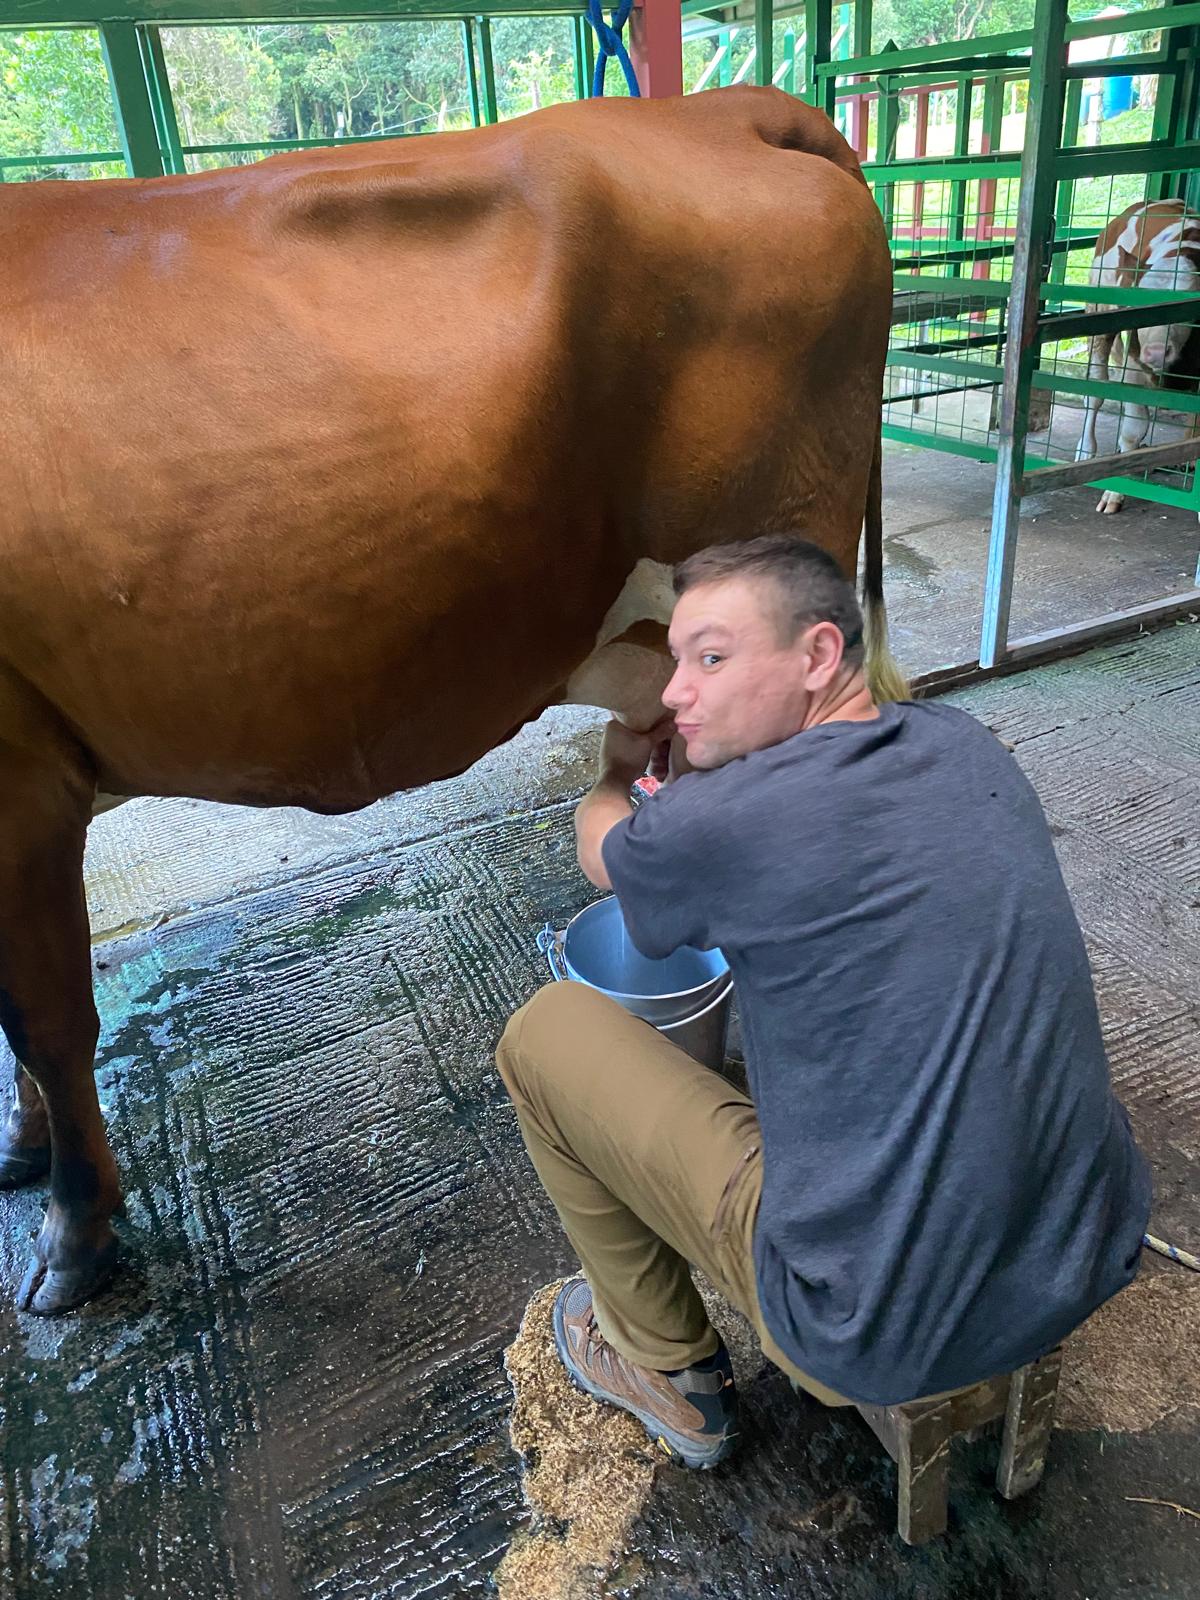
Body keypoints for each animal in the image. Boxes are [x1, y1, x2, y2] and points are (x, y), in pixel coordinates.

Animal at [1075, 197, 1200, 515]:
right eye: (1141, 306)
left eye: (1189, 311)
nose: (1154, 352)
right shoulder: (1133, 360)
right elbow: (1133, 428)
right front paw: (1114, 492)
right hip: (1098, 309)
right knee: (1095, 390)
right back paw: (1086, 451)